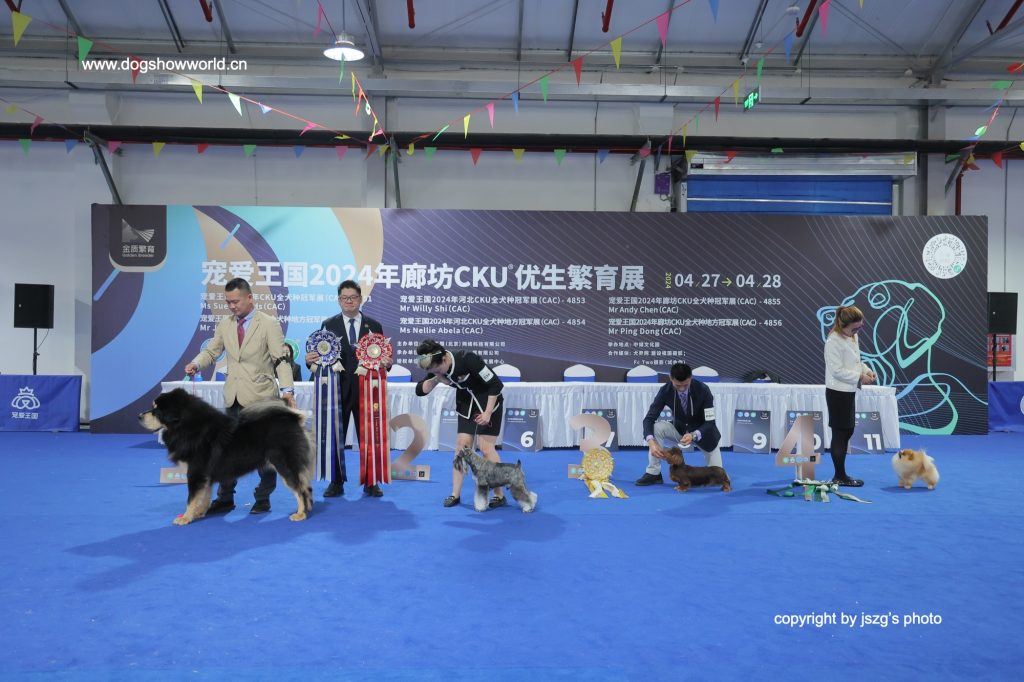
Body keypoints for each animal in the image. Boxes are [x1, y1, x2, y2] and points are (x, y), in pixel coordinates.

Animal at [139, 388, 314, 524]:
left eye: (156, 411)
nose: (139, 416)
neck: (187, 426)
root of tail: (293, 418)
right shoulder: (205, 476)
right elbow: (204, 496)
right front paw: (199, 513)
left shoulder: (195, 473)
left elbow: (191, 498)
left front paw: (186, 517)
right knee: (306, 487)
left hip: (285, 465)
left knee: (300, 489)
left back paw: (300, 514)